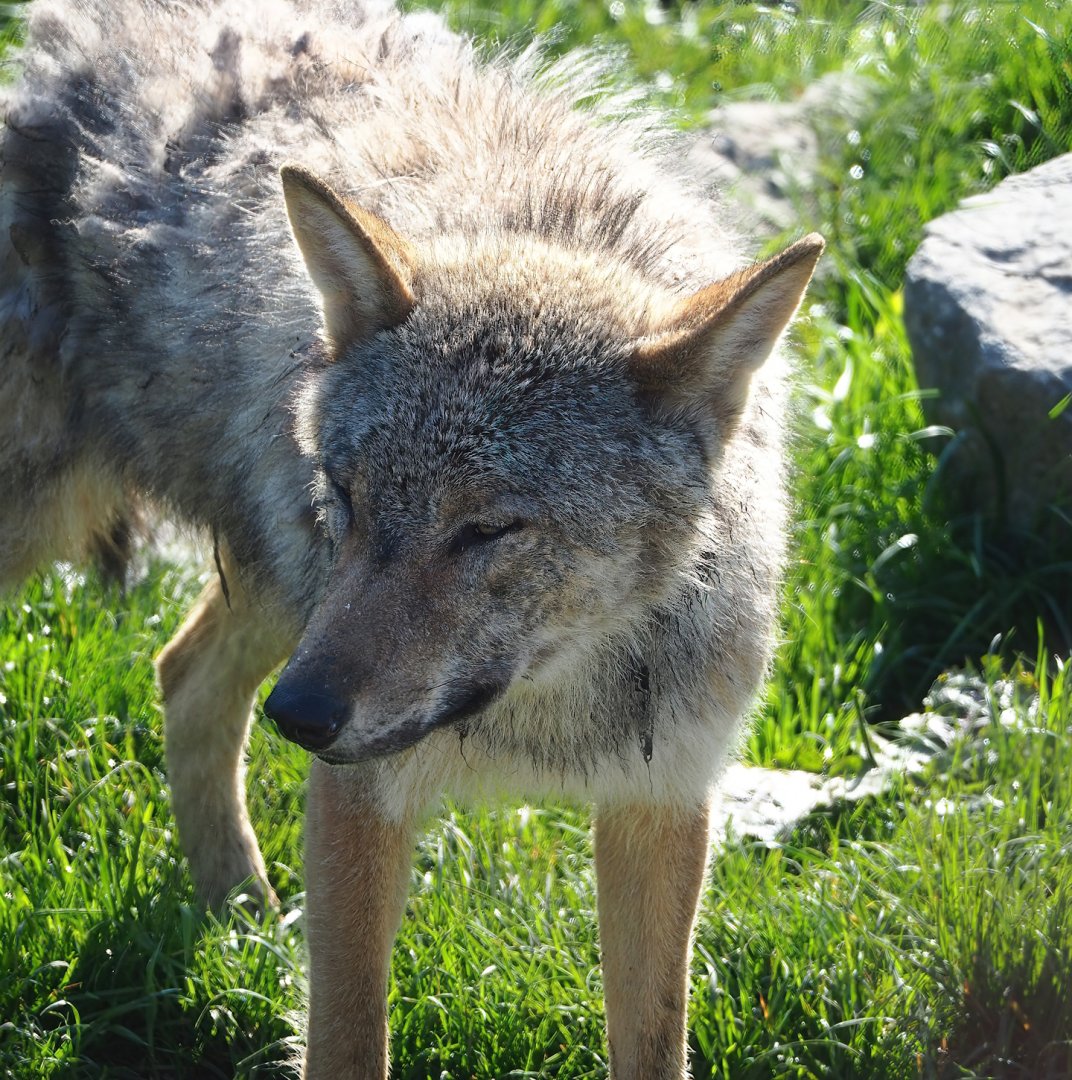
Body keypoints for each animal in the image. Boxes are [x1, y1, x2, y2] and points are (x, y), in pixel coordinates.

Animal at [0, 0, 822, 1075]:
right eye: (348, 495)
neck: (540, 707)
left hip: (276, 590)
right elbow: (348, 1038)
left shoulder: (663, 799)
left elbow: (653, 1041)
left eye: (488, 529)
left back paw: (240, 923)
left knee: (182, 675)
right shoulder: (358, 797)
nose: (299, 717)